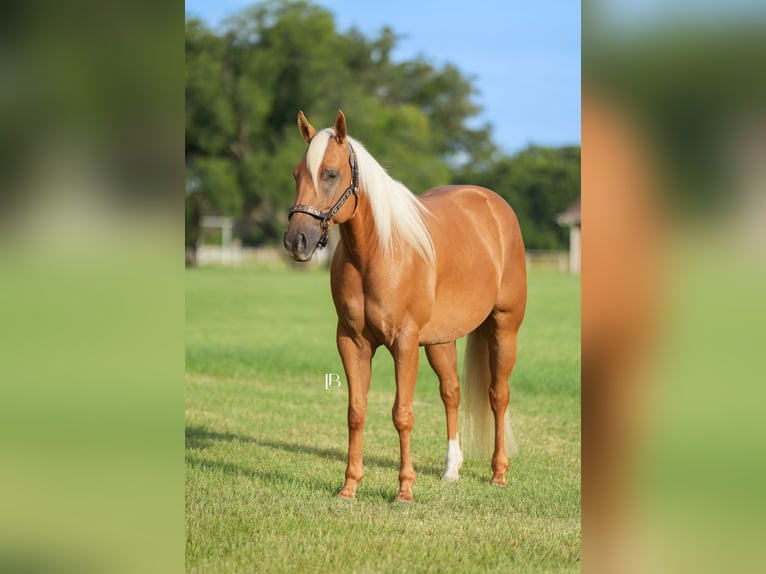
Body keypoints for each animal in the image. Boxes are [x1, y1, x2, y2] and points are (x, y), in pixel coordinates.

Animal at [284, 110, 527, 502]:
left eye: (331, 174)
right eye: (296, 174)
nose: (297, 241)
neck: (378, 253)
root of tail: (495, 205)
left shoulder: (405, 343)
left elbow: (402, 414)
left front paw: (405, 490)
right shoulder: (352, 342)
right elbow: (356, 411)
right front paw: (349, 486)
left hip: (505, 327)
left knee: (498, 396)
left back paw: (498, 473)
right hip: (442, 340)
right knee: (452, 393)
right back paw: (451, 469)